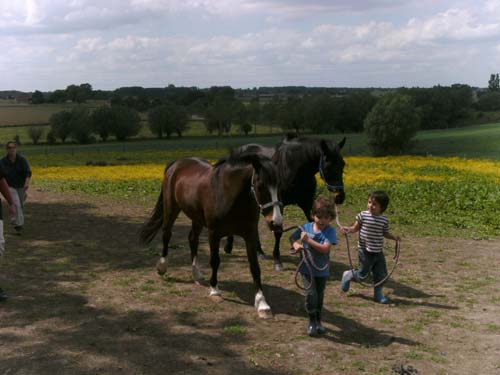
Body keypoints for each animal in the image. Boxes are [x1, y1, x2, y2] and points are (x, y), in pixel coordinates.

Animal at [139, 148, 284, 318]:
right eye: (260, 185)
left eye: (279, 185)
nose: (276, 222)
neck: (228, 194)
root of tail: (176, 164)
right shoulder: (214, 233)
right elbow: (215, 261)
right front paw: (214, 290)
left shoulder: (250, 235)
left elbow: (255, 267)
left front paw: (262, 304)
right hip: (171, 209)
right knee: (167, 234)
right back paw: (162, 267)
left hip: (196, 218)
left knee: (192, 239)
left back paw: (196, 274)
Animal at [225, 135, 346, 270]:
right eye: (328, 166)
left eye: (343, 164)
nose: (340, 197)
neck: (295, 168)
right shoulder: (278, 205)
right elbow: (278, 232)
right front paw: (277, 260)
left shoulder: (307, 204)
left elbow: (313, 223)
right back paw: (232, 246)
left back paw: (258, 251)